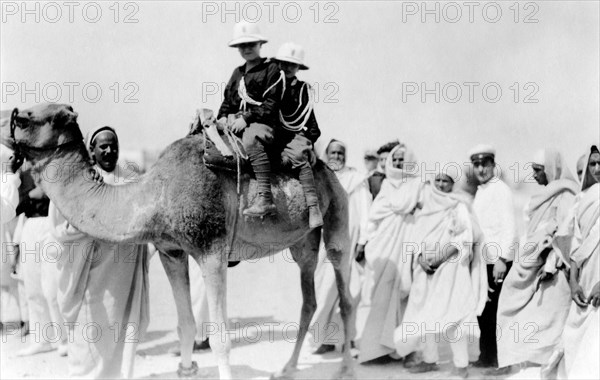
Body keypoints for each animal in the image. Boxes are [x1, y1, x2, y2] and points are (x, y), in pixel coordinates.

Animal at [2, 102, 354, 378]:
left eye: (25, 119)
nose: (8, 122)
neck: (156, 194)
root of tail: (327, 169)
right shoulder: (171, 252)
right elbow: (185, 324)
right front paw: (186, 369)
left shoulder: (212, 250)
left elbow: (220, 339)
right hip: (303, 241)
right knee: (309, 298)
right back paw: (288, 368)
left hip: (338, 212)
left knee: (345, 291)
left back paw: (346, 368)